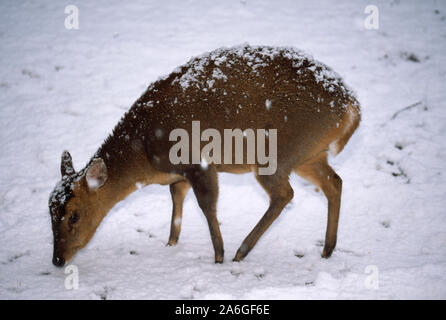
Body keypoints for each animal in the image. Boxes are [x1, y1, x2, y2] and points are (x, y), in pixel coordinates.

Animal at [48, 43, 360, 268]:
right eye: (49, 212)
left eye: (74, 215)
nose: (57, 259)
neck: (145, 155)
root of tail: (351, 106)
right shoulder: (178, 175)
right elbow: (176, 199)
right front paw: (171, 244)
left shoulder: (197, 160)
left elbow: (207, 205)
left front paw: (218, 256)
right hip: (309, 154)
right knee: (334, 182)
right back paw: (328, 249)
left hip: (277, 153)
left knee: (285, 194)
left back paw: (241, 251)